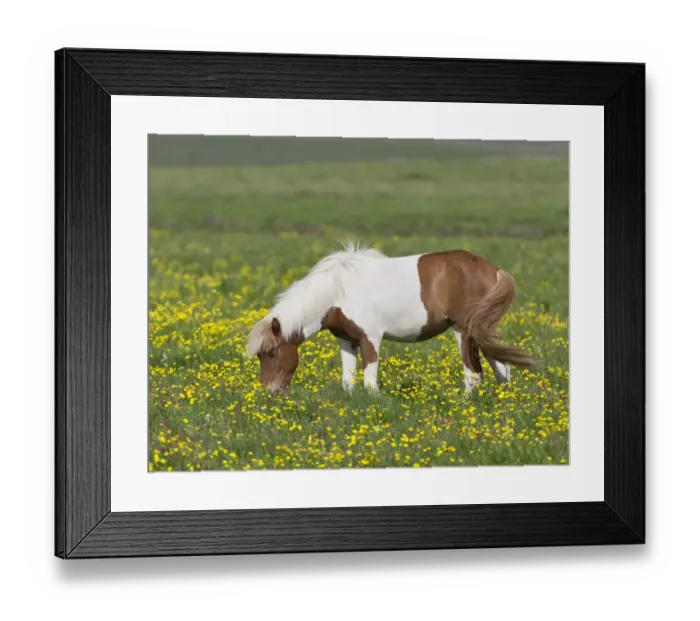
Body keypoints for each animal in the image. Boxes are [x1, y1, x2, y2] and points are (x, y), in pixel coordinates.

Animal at [246, 241, 537, 395]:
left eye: (271, 353)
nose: (269, 392)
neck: (337, 291)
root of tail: (493, 270)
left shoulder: (370, 339)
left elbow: (369, 380)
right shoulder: (346, 340)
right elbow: (348, 380)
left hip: (464, 331)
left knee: (474, 374)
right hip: (482, 330)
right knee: (502, 369)